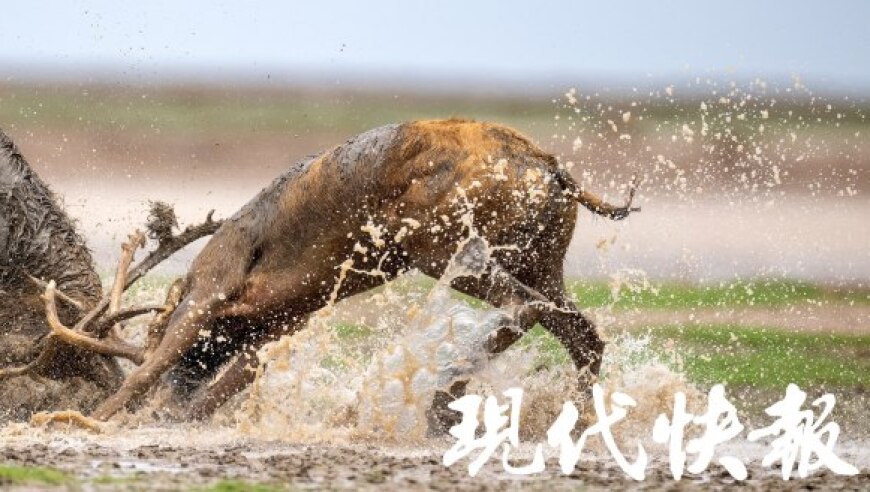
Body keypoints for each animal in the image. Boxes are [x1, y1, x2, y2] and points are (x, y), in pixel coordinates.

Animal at [30, 120, 640, 430]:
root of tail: (551, 166)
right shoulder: (278, 326)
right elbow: (215, 394)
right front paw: (169, 419)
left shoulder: (208, 294)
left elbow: (145, 372)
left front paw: (79, 420)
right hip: (541, 260)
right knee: (582, 332)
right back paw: (573, 423)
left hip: (446, 250)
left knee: (528, 307)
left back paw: (443, 402)